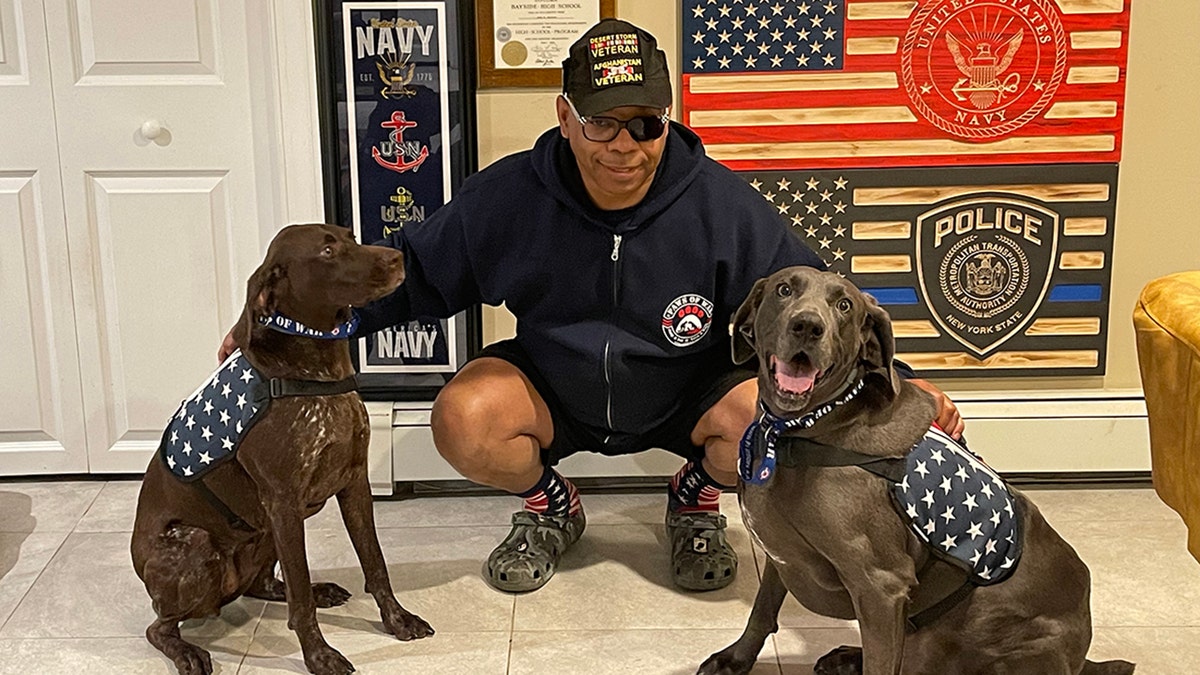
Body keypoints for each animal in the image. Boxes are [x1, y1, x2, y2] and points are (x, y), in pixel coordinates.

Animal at [700, 265, 1128, 667]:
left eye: (844, 305)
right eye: (784, 289)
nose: (807, 326)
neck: (806, 427)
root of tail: (1082, 659)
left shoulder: (880, 584)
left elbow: (880, 661)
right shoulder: (779, 552)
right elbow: (762, 610)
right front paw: (736, 659)